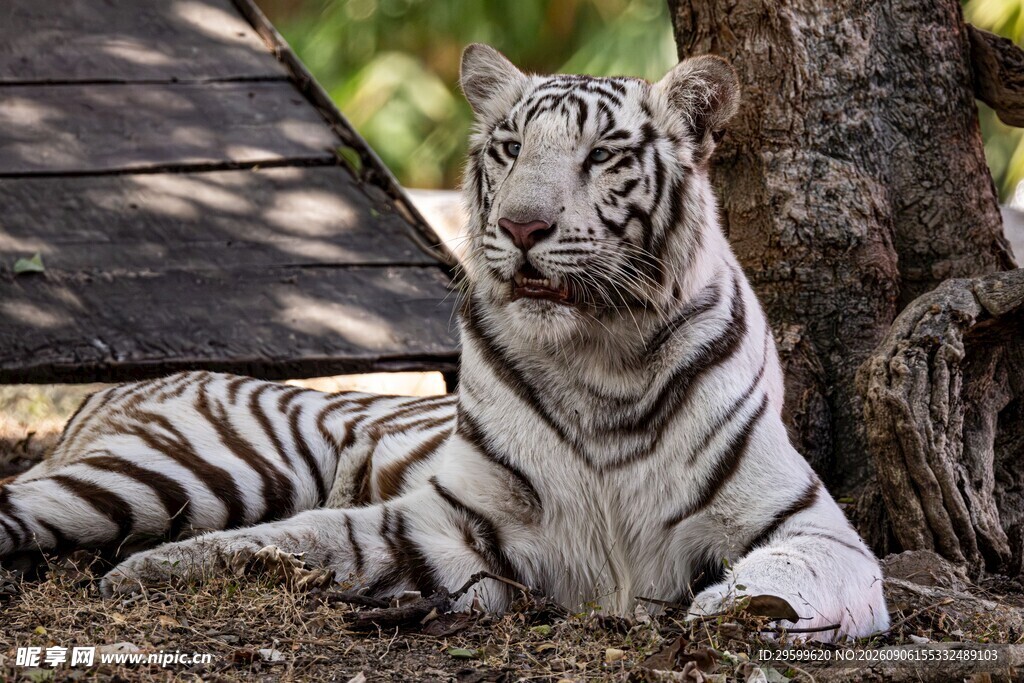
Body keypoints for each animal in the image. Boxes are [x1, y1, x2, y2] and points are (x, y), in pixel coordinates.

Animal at [0, 44, 888, 640]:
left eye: (602, 155)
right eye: (510, 147)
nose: (522, 227)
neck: (599, 361)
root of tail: (115, 385)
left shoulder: (812, 526)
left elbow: (787, 570)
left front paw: (734, 606)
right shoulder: (453, 526)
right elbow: (310, 534)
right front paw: (150, 573)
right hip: (193, 469)